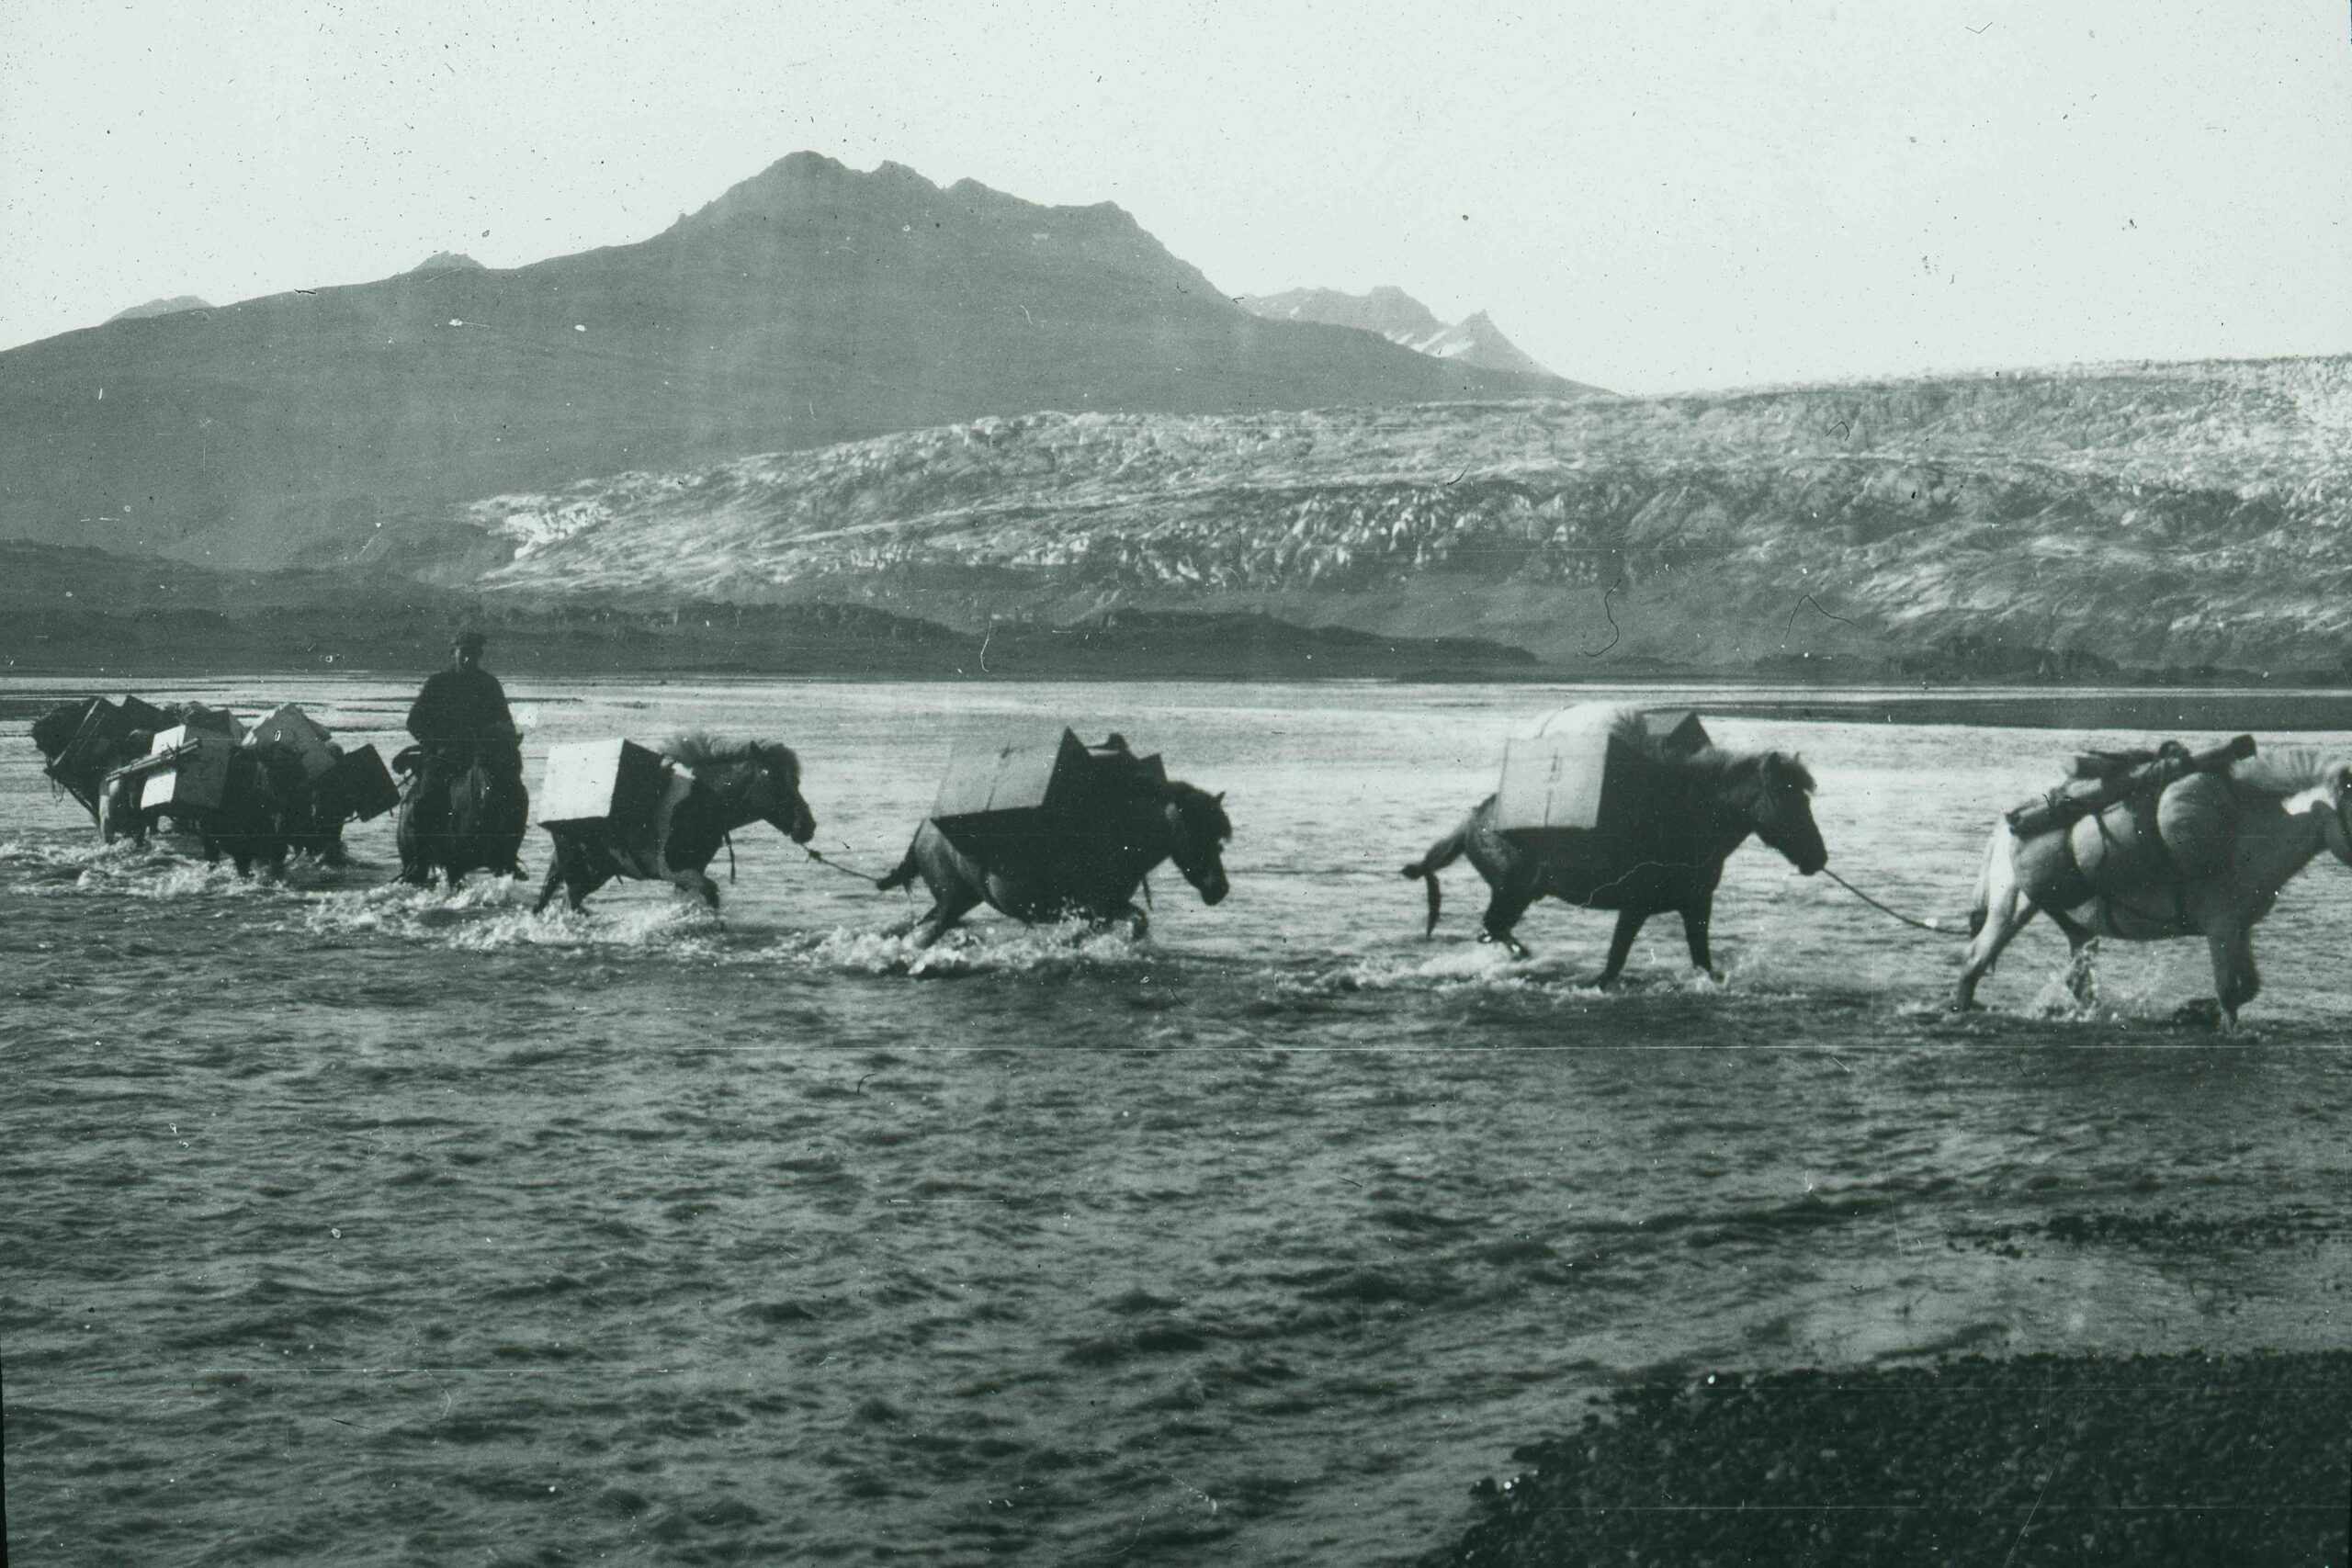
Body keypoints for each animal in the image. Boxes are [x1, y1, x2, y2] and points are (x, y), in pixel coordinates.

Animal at [534, 738, 818, 911]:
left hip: (595, 869)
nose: (808, 826)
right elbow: (711, 892)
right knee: (569, 900)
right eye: (776, 781)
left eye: (796, 782)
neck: (703, 801)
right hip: (577, 866)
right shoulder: (672, 868)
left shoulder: (690, 871)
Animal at [884, 771, 1241, 944]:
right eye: (1197, 833)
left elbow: (1137, 922)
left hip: (959, 900)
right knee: (926, 932)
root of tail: (927, 828)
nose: (1219, 889)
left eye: (1219, 840)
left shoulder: (1111, 905)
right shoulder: (1099, 907)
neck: (1119, 834)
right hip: (951, 900)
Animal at [1401, 719, 1825, 982]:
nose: (1818, 858)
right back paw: (1527, 957)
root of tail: (1472, 822)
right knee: (1493, 929)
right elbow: (1612, 965)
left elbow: (1702, 963)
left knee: (1493, 931)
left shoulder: (1696, 905)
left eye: (1804, 799)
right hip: (1512, 891)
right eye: (1788, 800)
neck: (1687, 821)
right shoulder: (1635, 906)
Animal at [1947, 747, 2352, 1029]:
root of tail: (2006, 828)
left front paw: (2194, 1010)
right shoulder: (2220, 927)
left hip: (2071, 920)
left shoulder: (2240, 928)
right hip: (2011, 909)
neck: (2246, 837)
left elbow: (2248, 986)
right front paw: (2215, 1020)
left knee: (2079, 980)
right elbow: (2228, 992)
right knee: (1973, 962)